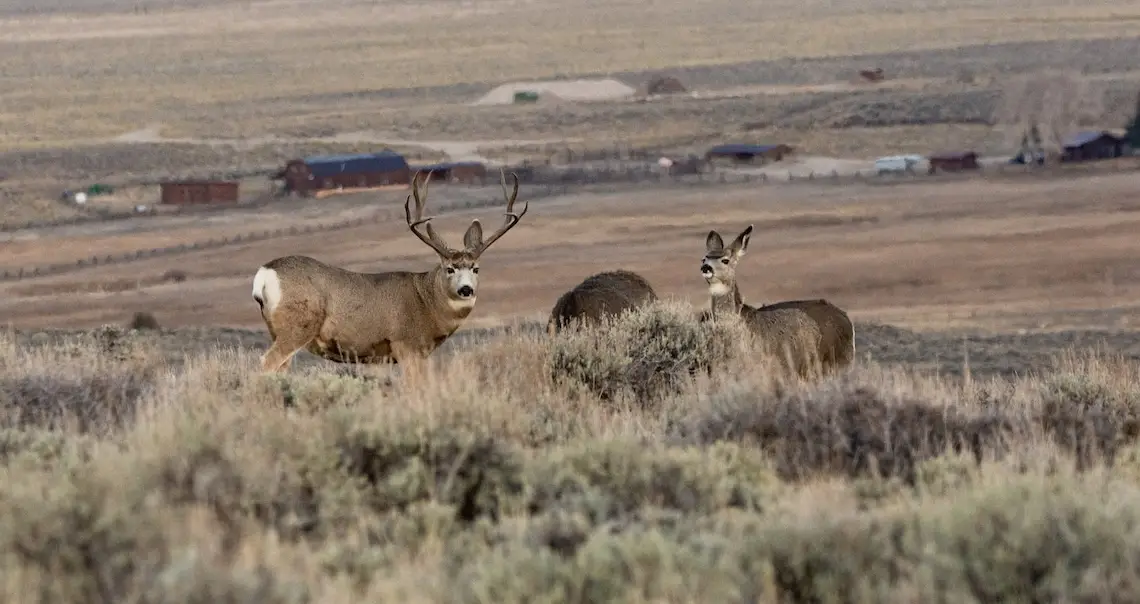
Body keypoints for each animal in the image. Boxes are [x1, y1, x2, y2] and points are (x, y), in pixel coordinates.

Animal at [250, 169, 530, 380]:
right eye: (449, 268)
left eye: (476, 268)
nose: (466, 289)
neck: (426, 302)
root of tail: (265, 273)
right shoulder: (406, 346)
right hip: (298, 325)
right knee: (266, 362)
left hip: (277, 329)